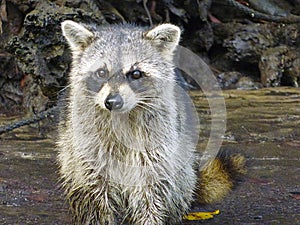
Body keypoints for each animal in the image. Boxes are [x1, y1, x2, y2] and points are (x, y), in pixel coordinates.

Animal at [57, 20, 245, 224]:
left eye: (135, 74)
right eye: (101, 72)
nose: (112, 102)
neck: (122, 116)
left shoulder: (157, 145)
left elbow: (151, 194)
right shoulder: (89, 147)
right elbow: (96, 195)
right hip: (70, 151)